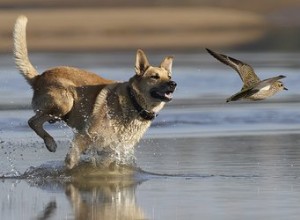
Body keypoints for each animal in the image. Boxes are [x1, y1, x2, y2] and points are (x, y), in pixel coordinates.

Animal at [14, 15, 177, 169]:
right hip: (66, 103)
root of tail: (39, 77)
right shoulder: (86, 137)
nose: (173, 84)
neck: (133, 102)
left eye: (169, 76)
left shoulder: (112, 150)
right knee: (32, 121)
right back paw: (50, 143)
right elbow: (71, 161)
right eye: (154, 77)